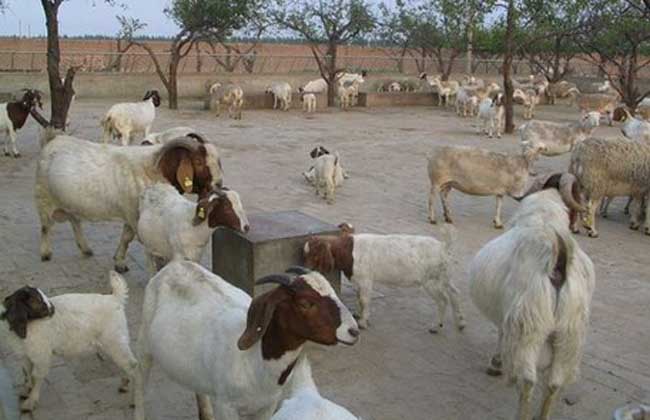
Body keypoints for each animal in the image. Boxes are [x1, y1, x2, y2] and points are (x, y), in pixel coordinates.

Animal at [0, 272, 138, 414]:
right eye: (37, 301)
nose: (53, 310)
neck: (28, 326)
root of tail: (115, 298)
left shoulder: (42, 355)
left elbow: (36, 376)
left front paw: (30, 402)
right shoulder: (26, 354)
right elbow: (26, 371)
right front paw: (25, 390)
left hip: (114, 339)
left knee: (134, 366)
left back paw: (134, 400)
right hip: (115, 341)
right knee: (127, 363)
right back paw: (124, 383)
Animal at [35, 133, 223, 274]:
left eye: (217, 160)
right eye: (198, 161)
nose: (218, 184)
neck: (153, 169)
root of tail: (52, 141)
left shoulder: (131, 214)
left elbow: (126, 237)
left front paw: (119, 262)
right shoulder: (134, 214)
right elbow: (136, 239)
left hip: (69, 202)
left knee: (75, 221)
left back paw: (85, 249)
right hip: (43, 198)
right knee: (45, 226)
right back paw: (45, 253)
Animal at [135, 262, 360, 420]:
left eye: (333, 291)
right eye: (305, 303)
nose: (354, 331)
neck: (255, 361)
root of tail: (174, 264)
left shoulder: (267, 406)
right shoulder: (226, 406)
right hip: (144, 340)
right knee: (139, 380)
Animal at [302, 223, 464, 332]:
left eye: (314, 254)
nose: (305, 267)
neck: (349, 252)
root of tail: (443, 246)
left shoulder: (366, 279)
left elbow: (364, 299)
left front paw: (363, 322)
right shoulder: (360, 281)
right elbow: (359, 298)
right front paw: (358, 314)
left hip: (431, 281)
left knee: (443, 300)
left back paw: (436, 326)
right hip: (445, 276)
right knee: (454, 293)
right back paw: (460, 323)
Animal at [466, 173, 592, 420]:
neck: (544, 215)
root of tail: (558, 259)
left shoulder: (509, 314)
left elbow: (501, 333)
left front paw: (495, 364)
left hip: (529, 324)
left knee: (527, 380)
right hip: (569, 332)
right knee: (554, 382)